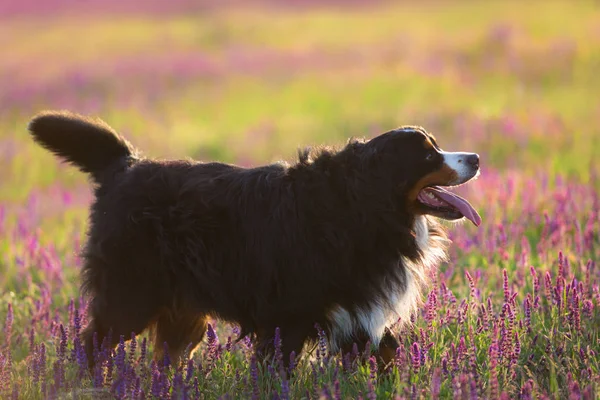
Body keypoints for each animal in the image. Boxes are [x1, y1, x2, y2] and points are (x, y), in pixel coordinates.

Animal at [28, 110, 482, 372]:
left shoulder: (359, 315)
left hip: (182, 312)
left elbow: (384, 359)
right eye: (428, 155)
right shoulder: (289, 318)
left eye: (436, 146)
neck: (360, 207)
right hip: (131, 296)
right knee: (91, 346)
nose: (475, 158)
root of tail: (125, 164)